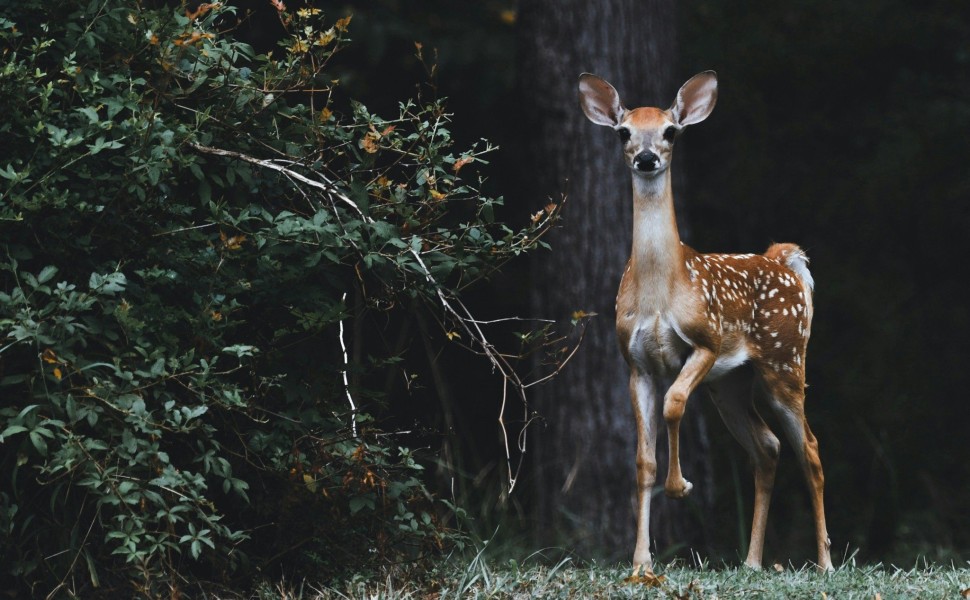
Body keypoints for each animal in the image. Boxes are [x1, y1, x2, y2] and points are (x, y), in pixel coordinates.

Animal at [580, 71, 836, 580]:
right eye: (623, 132)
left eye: (670, 131)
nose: (646, 158)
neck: (661, 290)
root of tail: (784, 259)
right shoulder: (635, 363)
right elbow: (642, 460)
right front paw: (640, 562)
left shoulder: (706, 341)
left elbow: (675, 403)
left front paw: (681, 486)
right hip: (732, 383)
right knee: (767, 446)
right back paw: (752, 562)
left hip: (785, 360)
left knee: (811, 449)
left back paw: (825, 562)